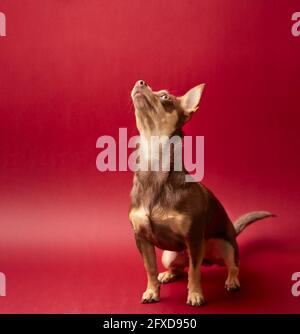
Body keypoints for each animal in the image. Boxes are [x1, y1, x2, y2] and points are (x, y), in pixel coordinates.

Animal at [127, 79, 274, 306]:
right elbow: (149, 268)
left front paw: (195, 294)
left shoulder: (194, 237)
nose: (141, 82)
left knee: (232, 265)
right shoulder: (141, 238)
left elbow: (194, 273)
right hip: (169, 255)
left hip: (224, 245)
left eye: (165, 98)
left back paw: (232, 281)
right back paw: (167, 274)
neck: (155, 170)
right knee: (179, 267)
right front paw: (152, 291)